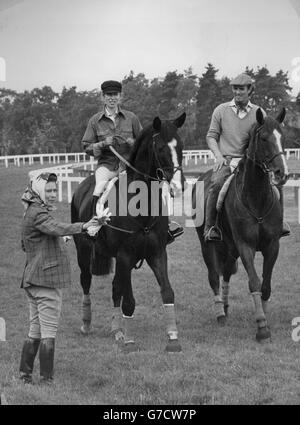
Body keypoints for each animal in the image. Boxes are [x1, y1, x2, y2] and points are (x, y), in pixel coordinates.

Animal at [72, 112, 186, 352]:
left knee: (116, 288)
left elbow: (167, 292)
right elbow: (130, 301)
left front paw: (173, 339)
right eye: (160, 147)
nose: (178, 187)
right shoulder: (125, 256)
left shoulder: (157, 254)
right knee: (86, 282)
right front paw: (130, 342)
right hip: (84, 254)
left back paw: (117, 331)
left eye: (180, 145)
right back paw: (87, 324)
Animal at [193, 109, 290, 342]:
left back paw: (226, 306)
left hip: (230, 247)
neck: (257, 200)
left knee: (227, 271)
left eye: (282, 137)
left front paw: (264, 316)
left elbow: (265, 285)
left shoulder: (272, 246)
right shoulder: (245, 245)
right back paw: (220, 312)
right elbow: (254, 282)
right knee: (213, 276)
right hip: (208, 244)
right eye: (263, 138)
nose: (281, 173)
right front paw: (262, 327)